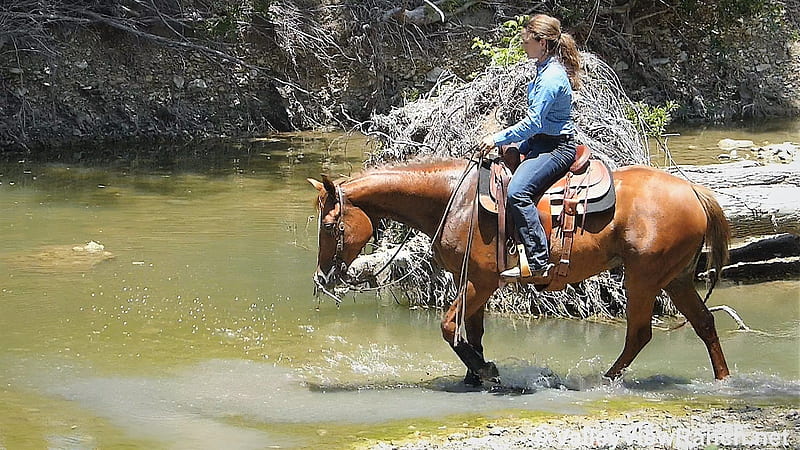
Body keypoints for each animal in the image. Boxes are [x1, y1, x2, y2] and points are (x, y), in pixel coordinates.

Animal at [308, 159, 732, 386]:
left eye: (330, 226)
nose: (321, 279)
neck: (455, 201)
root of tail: (693, 190)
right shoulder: (471, 282)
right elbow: (472, 331)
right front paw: (473, 377)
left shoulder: (480, 282)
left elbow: (449, 326)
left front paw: (488, 372)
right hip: (675, 279)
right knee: (704, 323)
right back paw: (723, 379)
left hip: (642, 278)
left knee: (640, 333)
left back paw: (603, 380)